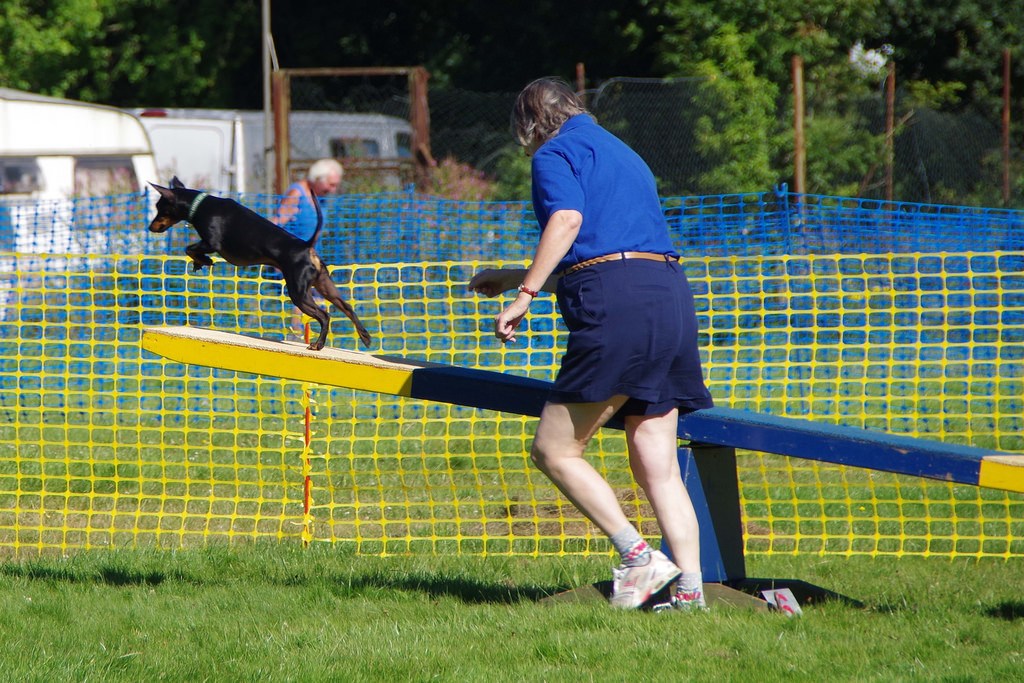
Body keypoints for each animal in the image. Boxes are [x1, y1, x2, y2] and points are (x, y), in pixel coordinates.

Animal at [144, 176, 368, 350]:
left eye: (159, 208)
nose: (150, 227)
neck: (199, 206)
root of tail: (306, 246)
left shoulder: (212, 243)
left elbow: (189, 248)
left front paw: (203, 260)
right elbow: (191, 250)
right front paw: (199, 263)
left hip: (298, 293)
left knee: (324, 315)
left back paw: (318, 345)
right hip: (324, 285)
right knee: (347, 307)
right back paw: (365, 336)